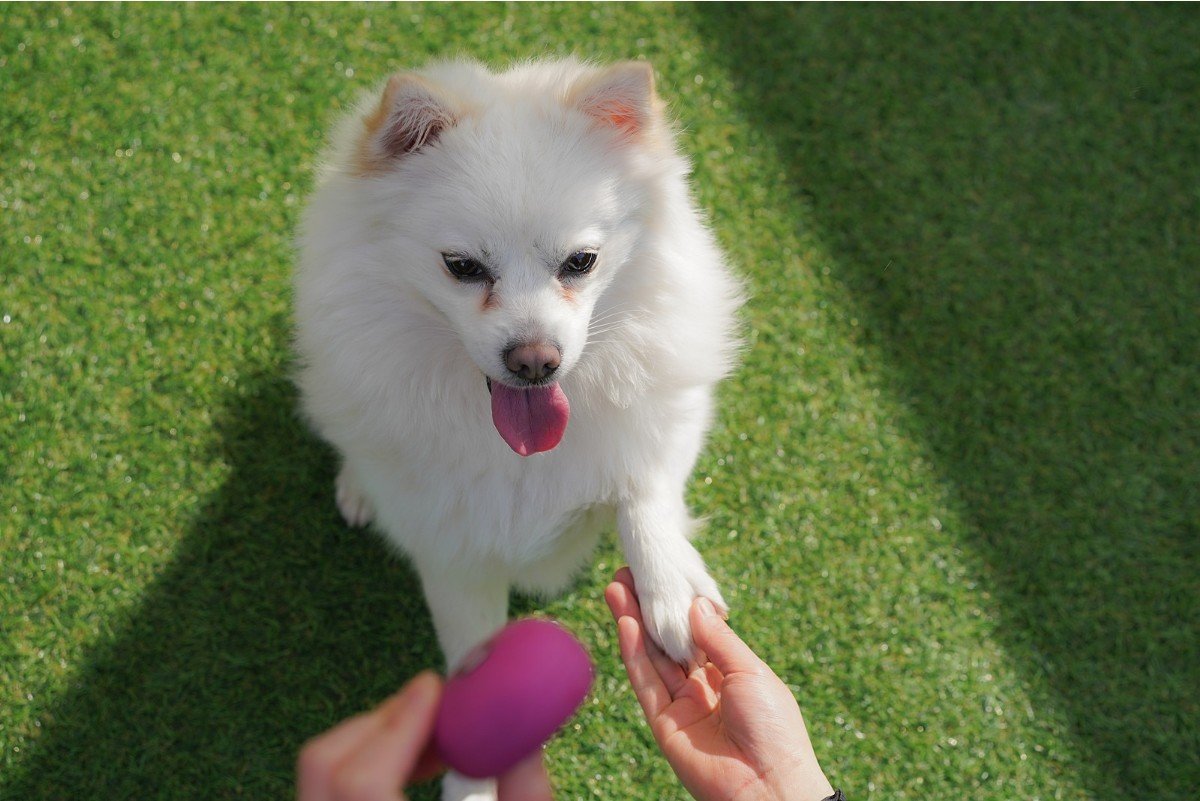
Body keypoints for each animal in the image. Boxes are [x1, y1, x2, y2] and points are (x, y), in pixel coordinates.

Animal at [292, 57, 739, 801]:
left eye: (581, 262)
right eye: (463, 267)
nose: (535, 360)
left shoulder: (672, 415)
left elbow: (644, 488)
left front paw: (671, 586)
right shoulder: (453, 549)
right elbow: (472, 662)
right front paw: (473, 779)